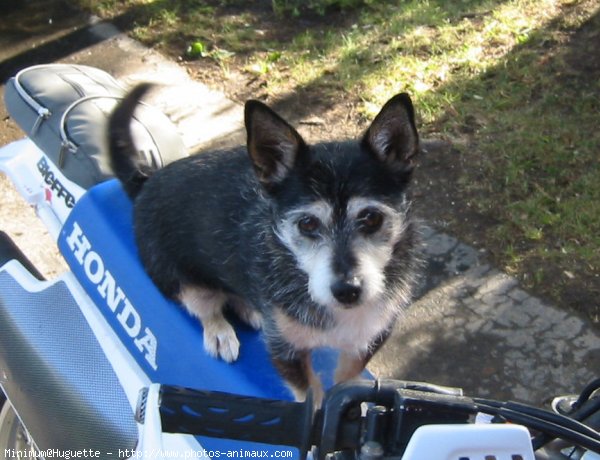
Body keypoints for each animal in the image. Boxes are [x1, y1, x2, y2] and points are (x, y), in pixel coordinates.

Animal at [110, 84, 424, 400]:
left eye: (371, 218)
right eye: (307, 223)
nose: (347, 290)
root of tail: (145, 183)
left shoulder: (369, 338)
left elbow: (346, 378)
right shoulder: (285, 351)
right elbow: (310, 394)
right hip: (184, 283)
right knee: (206, 308)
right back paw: (220, 331)